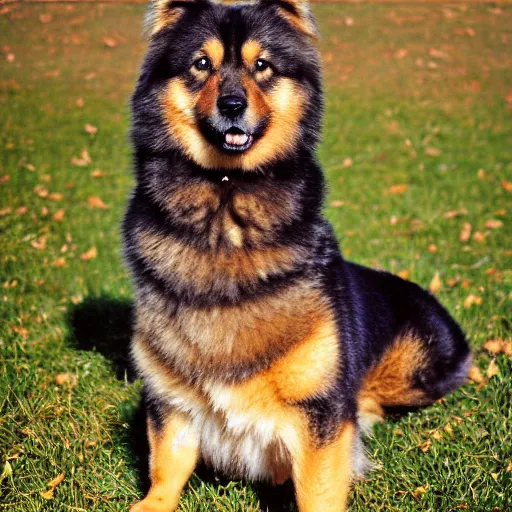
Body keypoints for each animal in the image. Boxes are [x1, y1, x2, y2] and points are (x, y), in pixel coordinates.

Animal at [123, 1, 472, 508]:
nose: (232, 105)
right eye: (201, 64)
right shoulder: (170, 400)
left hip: (418, 370)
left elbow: (319, 487)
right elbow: (166, 465)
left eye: (263, 65)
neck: (227, 198)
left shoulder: (319, 414)